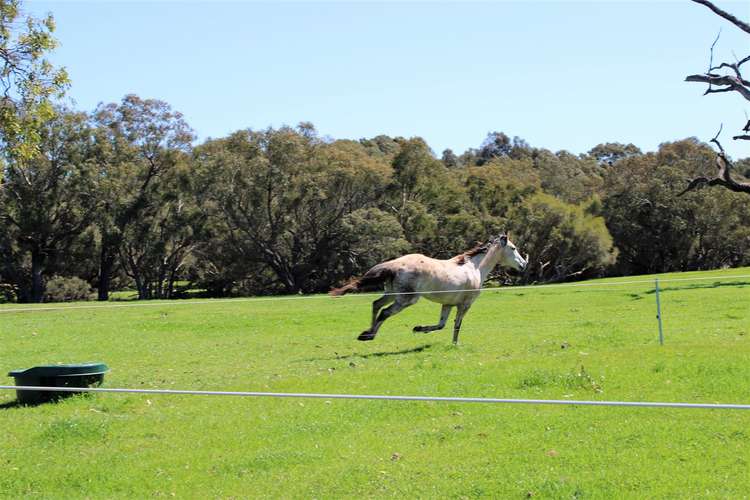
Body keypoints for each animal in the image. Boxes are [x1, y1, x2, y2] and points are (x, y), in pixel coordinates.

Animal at [328, 234, 528, 344]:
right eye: (513, 248)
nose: (524, 265)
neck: (475, 268)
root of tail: (394, 265)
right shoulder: (465, 304)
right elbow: (457, 325)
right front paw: (455, 344)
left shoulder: (448, 304)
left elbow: (441, 325)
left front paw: (418, 328)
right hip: (407, 299)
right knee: (384, 312)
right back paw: (369, 335)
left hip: (392, 293)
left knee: (376, 304)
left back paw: (367, 332)